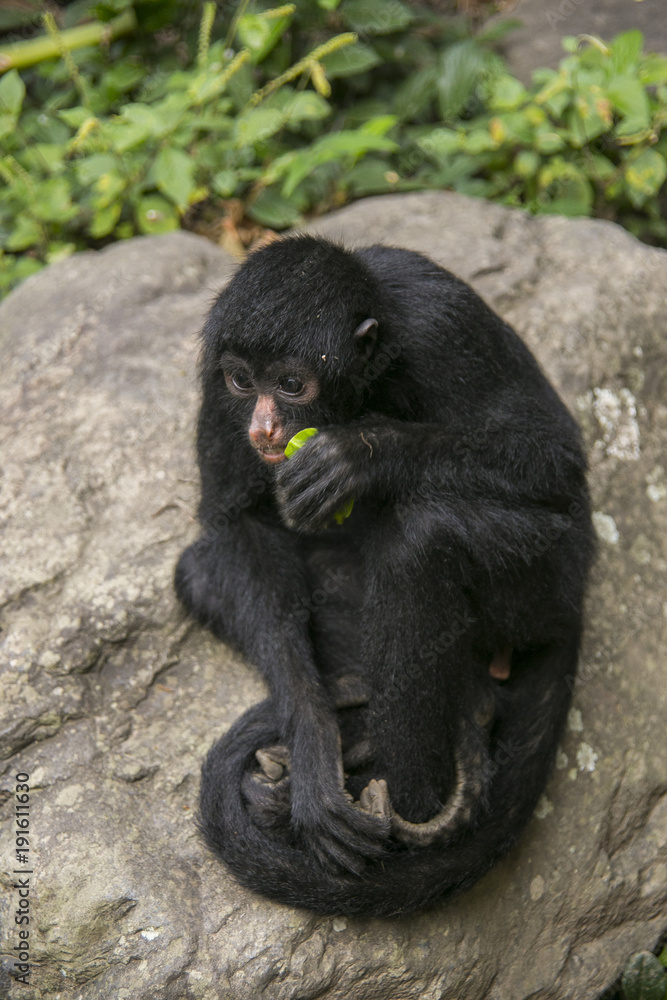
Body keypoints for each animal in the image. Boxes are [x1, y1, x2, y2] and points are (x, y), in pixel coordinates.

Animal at [174, 234, 595, 916]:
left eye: (290, 385)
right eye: (242, 379)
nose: (263, 426)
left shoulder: (443, 323)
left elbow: (553, 458)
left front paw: (361, 453)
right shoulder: (215, 379)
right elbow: (233, 525)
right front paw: (316, 755)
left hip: (547, 584)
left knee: (420, 540)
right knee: (199, 569)